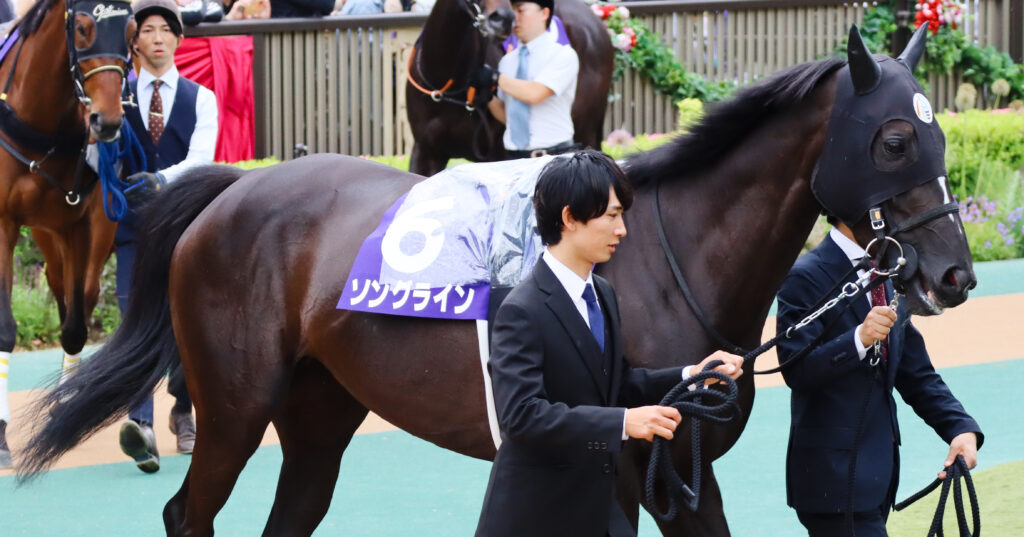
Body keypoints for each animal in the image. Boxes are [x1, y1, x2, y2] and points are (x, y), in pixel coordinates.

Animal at [0, 0, 136, 468]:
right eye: (81, 28)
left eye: (131, 30)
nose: (107, 121)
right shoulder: (4, 222)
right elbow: (5, 329)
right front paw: (2, 435)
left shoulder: (85, 220)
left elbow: (76, 326)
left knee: (74, 296)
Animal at [20, 25, 975, 537]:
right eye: (894, 139)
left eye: (937, 136)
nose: (954, 273)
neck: (674, 259)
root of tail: (233, 190)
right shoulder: (634, 470)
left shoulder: (679, 475)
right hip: (233, 406)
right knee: (189, 512)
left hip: (319, 413)